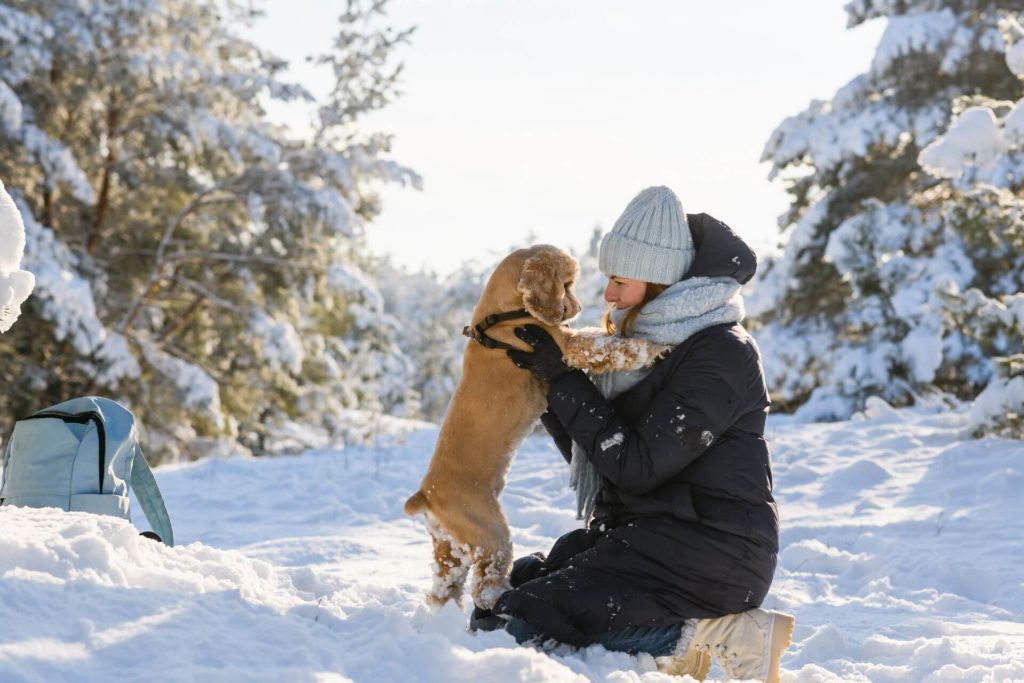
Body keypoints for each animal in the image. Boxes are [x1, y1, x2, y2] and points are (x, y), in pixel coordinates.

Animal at [401, 244, 671, 610]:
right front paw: (654, 347)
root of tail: (425, 497)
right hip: (489, 530)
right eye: (567, 283)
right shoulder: (564, 345)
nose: (578, 308)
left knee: (443, 586)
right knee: (485, 581)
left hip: (449, 545)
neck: (503, 313)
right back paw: (500, 599)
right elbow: (603, 345)